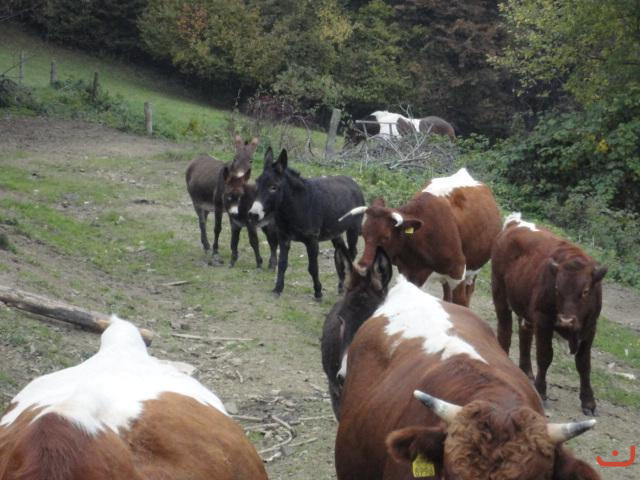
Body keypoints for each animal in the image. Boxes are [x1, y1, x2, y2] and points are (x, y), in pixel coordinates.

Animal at [185, 134, 263, 266]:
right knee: (202, 222)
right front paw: (216, 252)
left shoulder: (233, 210)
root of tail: (197, 158)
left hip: (206, 206)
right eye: (235, 159)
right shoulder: (218, 206)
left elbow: (234, 233)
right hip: (197, 202)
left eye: (251, 161)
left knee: (204, 220)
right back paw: (207, 246)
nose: (240, 180)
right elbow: (217, 228)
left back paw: (205, 245)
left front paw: (234, 254)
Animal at [248, 147, 365, 300]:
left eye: (273, 187)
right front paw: (277, 289)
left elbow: (313, 268)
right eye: (257, 183)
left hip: (353, 229)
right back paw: (340, 285)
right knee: (341, 252)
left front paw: (318, 292)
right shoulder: (284, 238)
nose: (253, 214)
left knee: (352, 253)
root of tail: (353, 182)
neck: (296, 206)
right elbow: (282, 264)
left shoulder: (312, 241)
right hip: (335, 232)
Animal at [340, 168, 502, 306]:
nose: (362, 266)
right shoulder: (409, 272)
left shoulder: (457, 273)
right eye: (363, 233)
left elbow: (461, 304)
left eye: (386, 237)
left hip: (474, 269)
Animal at [491, 212, 607, 416]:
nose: (566, 320)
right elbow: (545, 356)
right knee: (505, 330)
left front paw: (588, 402)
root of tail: (515, 223)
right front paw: (541, 391)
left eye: (585, 291)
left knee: (525, 334)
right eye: (557, 289)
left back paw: (526, 372)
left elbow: (584, 364)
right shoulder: (543, 320)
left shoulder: (590, 327)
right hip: (500, 293)